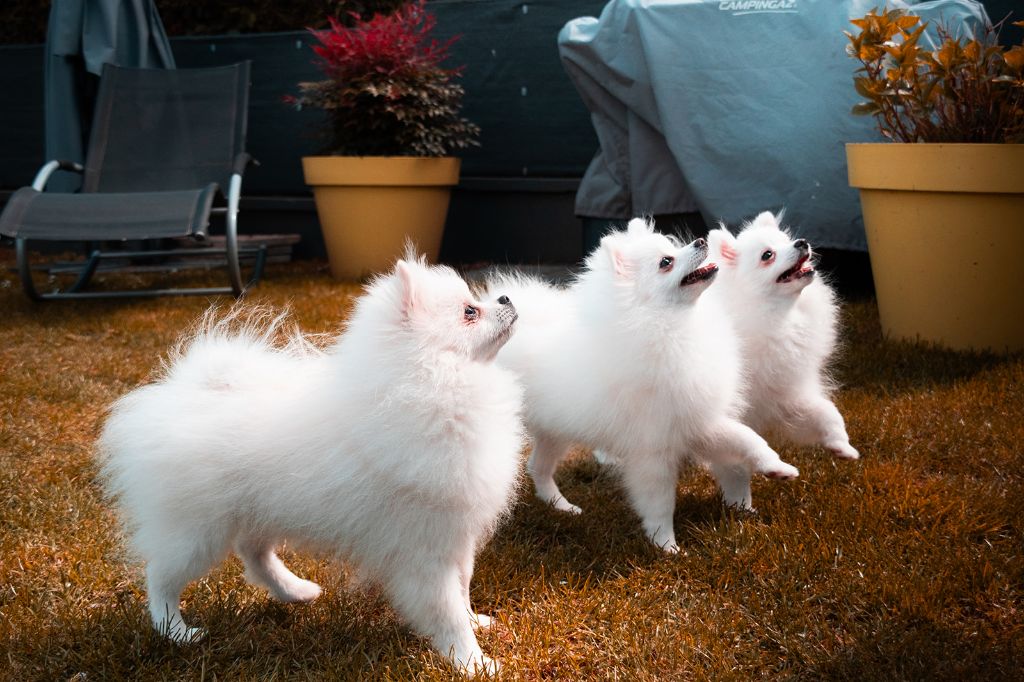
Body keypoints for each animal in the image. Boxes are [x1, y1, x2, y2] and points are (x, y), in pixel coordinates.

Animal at [97, 253, 520, 675]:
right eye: (469, 311)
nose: (505, 298)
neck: (433, 383)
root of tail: (183, 393)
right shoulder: (424, 549)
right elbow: (446, 610)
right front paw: (473, 662)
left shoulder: (456, 536)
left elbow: (463, 588)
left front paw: (476, 623)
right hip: (197, 531)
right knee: (161, 576)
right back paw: (176, 630)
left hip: (256, 510)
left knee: (254, 554)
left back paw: (296, 590)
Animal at [485, 219, 798, 552]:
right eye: (666, 262)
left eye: (673, 247)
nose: (700, 241)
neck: (671, 324)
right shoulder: (653, 448)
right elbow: (659, 502)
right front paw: (666, 545)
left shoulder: (698, 421)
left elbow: (748, 438)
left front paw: (778, 468)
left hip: (554, 431)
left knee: (538, 467)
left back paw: (561, 506)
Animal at [708, 209, 860, 458]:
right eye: (767, 255)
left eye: (786, 240)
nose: (801, 242)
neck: (781, 316)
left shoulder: (786, 393)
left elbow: (827, 410)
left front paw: (841, 445)